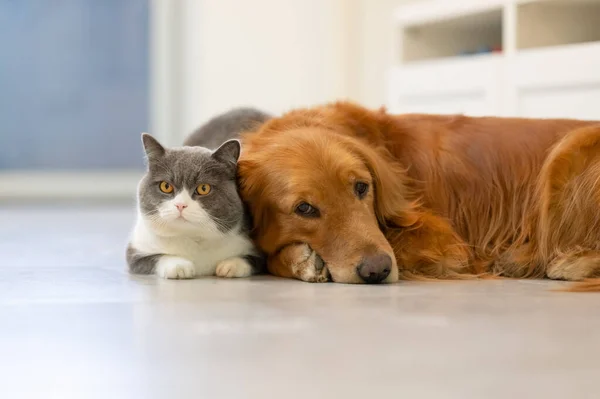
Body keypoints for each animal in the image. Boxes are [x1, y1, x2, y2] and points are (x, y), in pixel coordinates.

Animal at [127, 134, 262, 278]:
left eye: (203, 188)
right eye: (166, 186)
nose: (180, 205)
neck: (192, 237)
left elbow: (254, 260)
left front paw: (230, 265)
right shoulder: (136, 251)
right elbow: (157, 257)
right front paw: (179, 266)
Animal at [237, 101, 600, 292]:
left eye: (361, 187)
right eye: (304, 208)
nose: (377, 270)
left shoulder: (445, 243)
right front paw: (302, 259)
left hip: (570, 147)